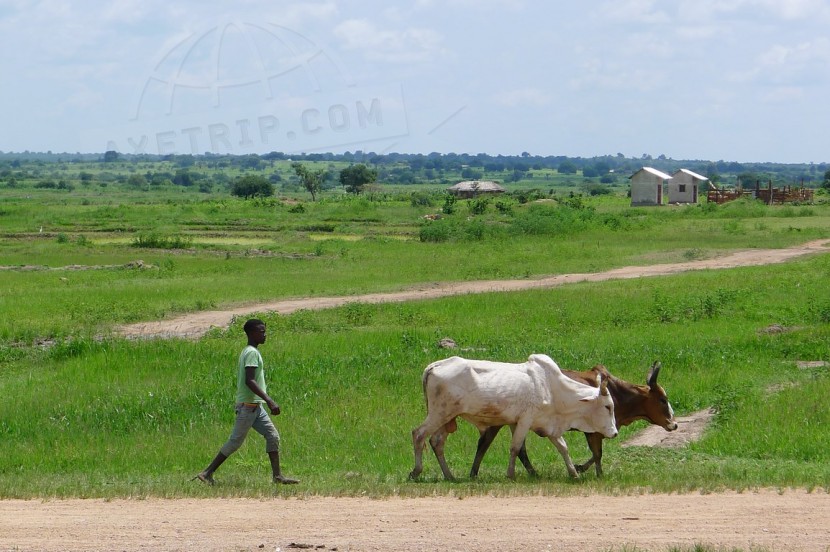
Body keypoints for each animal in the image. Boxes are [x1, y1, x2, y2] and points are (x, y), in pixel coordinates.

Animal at [410, 354, 616, 478]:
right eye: (608, 406)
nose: (614, 433)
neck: (552, 388)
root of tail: (434, 365)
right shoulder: (525, 420)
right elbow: (516, 448)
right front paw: (510, 474)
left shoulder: (539, 424)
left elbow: (562, 447)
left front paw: (574, 473)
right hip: (440, 413)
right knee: (418, 434)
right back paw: (416, 471)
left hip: (447, 418)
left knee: (436, 442)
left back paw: (449, 475)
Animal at [472, 360, 680, 476]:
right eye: (663, 399)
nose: (674, 424)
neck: (617, 393)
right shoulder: (594, 431)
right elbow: (597, 454)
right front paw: (595, 473)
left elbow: (596, 454)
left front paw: (581, 468)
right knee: (485, 443)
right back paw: (475, 473)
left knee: (519, 449)